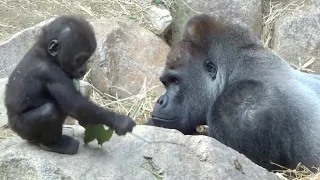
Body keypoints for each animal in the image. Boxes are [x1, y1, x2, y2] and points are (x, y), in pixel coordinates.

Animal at [4, 15, 136, 155]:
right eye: (80, 59)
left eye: (87, 59)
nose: (83, 70)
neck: (46, 53)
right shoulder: (51, 72)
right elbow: (74, 104)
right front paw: (119, 121)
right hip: (22, 129)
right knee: (48, 111)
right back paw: (53, 145)